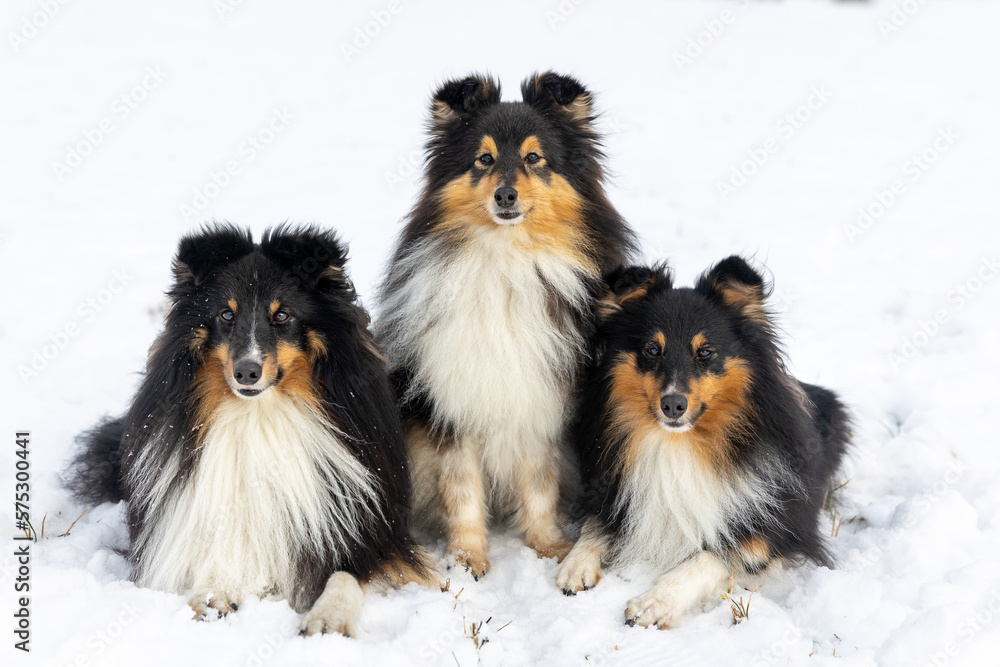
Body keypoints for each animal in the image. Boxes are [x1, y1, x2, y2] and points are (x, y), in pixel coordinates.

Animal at [65, 224, 434, 636]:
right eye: (226, 314)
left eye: (282, 315)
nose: (246, 372)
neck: (259, 415)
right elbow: (216, 550)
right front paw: (214, 594)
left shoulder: (373, 533)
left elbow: (346, 575)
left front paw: (328, 617)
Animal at [378, 70, 636, 576]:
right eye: (484, 159)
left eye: (534, 158)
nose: (505, 195)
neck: (507, 258)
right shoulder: (451, 402)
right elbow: (461, 489)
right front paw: (467, 559)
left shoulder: (539, 400)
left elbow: (539, 481)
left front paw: (548, 547)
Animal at [560, 258, 848, 628]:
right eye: (652, 350)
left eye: (705, 352)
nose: (673, 405)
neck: (678, 444)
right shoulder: (614, 487)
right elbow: (596, 523)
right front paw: (575, 564)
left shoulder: (778, 528)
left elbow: (712, 556)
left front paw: (653, 603)